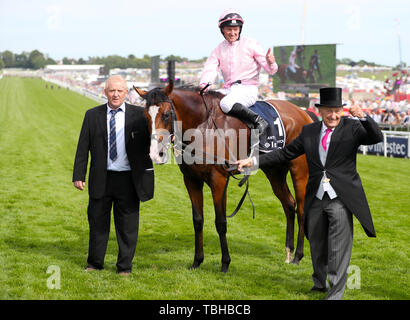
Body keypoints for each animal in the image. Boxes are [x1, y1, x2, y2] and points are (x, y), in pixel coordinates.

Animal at [135, 80, 310, 272]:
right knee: (289, 205)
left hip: (300, 171)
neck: (202, 127)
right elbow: (198, 220)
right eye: (146, 116)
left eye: (166, 115)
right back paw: (288, 253)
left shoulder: (218, 180)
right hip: (274, 171)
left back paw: (298, 255)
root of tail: (302, 112)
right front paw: (197, 261)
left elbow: (220, 222)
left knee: (301, 210)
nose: (155, 154)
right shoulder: (191, 180)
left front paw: (225, 263)